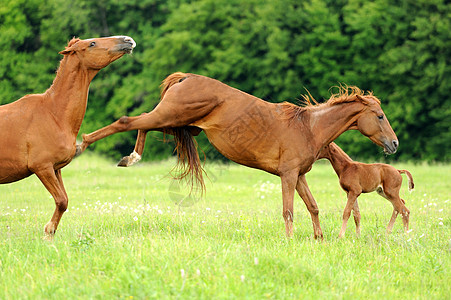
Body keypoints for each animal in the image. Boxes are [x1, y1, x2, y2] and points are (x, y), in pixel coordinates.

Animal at [0, 35, 137, 237]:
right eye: (92, 43)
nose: (128, 40)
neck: (53, 114)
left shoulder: (56, 168)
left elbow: (64, 200)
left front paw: (50, 231)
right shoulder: (42, 167)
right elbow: (61, 200)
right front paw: (48, 230)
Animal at [77, 72, 400, 239]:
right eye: (380, 116)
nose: (394, 144)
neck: (308, 126)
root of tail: (185, 78)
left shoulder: (299, 176)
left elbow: (313, 207)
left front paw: (318, 239)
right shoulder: (287, 175)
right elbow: (289, 210)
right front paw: (290, 241)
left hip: (178, 124)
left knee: (139, 122)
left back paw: (130, 156)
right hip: (170, 116)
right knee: (127, 121)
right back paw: (86, 144)